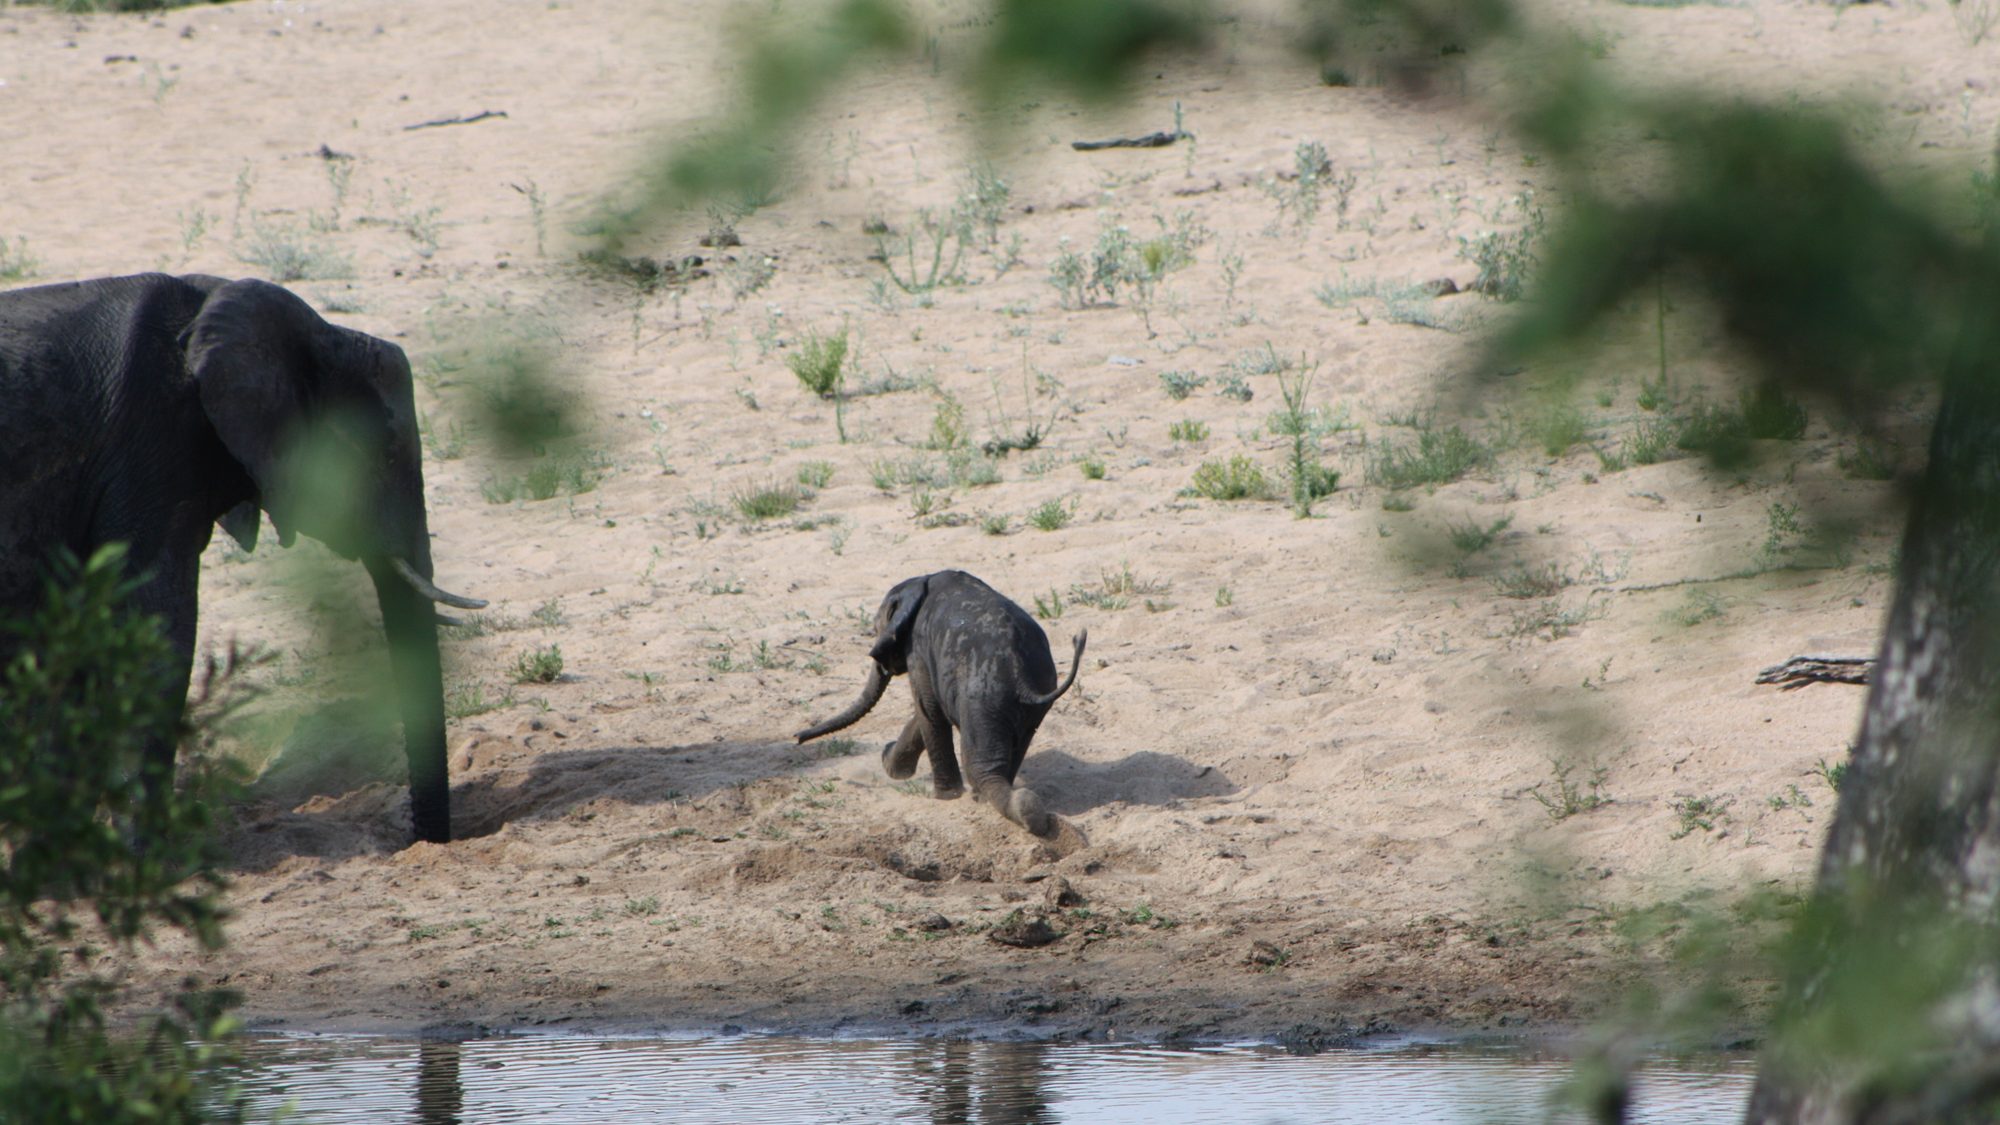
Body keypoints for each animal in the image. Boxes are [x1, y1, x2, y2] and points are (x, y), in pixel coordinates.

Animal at [796, 570, 1086, 838]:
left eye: (876, 630)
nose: (797, 738)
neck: (919, 583)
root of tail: (1021, 678)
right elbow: (926, 710)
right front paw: (891, 761)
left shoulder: (918, 650)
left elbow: (928, 710)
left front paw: (945, 797)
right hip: (1030, 705)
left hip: (983, 697)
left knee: (979, 764)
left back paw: (1018, 809)